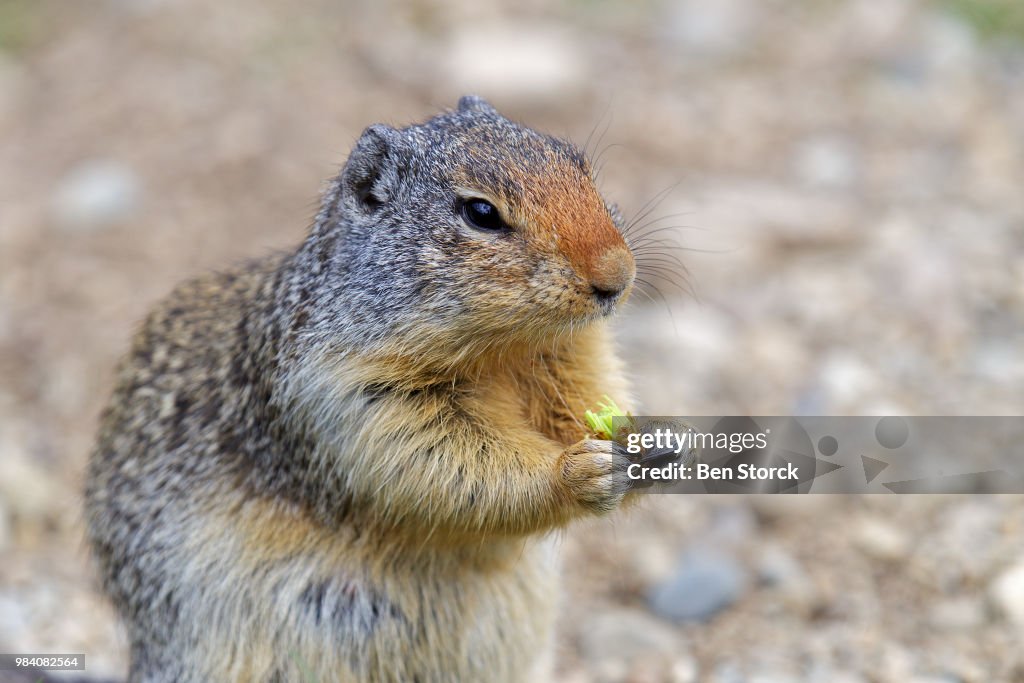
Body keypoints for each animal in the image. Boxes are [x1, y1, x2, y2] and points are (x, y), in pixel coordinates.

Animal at [85, 95, 659, 682]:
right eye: (480, 213)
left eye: (580, 165)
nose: (617, 276)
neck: (506, 352)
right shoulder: (356, 393)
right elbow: (447, 462)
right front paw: (579, 471)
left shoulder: (571, 359)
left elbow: (585, 400)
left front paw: (651, 440)